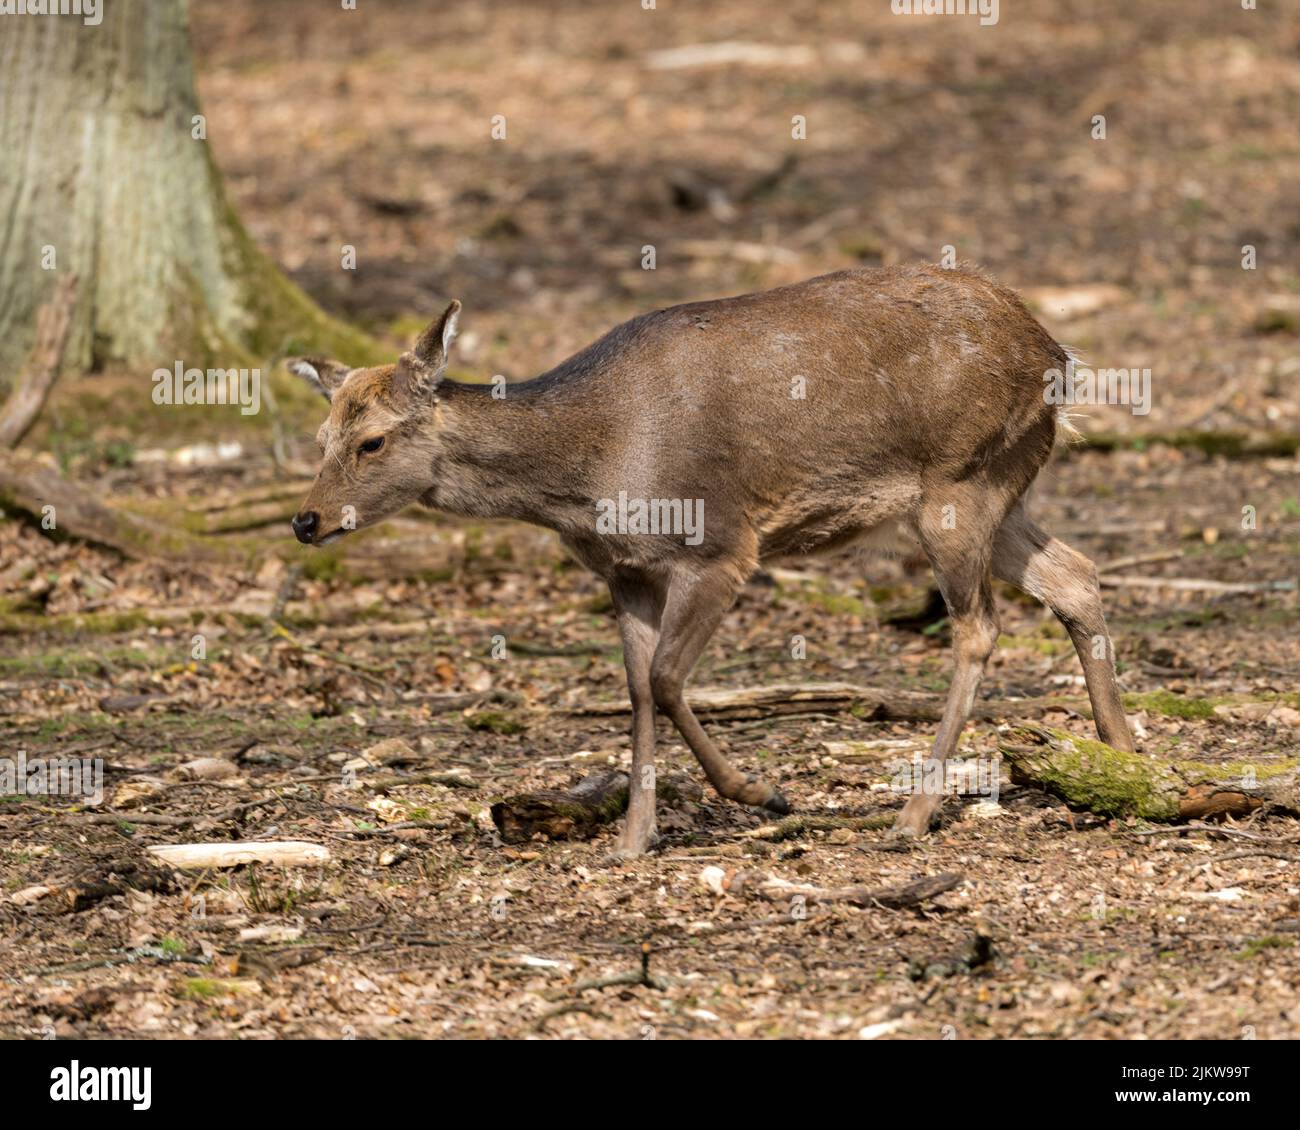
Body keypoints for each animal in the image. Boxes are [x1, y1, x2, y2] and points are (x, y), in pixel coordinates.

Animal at [289, 263, 1133, 858]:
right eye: (321, 437)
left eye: (373, 441)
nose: (306, 519)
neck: (590, 471)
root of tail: (1056, 354)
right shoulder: (624, 572)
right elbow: (635, 690)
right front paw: (634, 838)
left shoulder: (721, 543)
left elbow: (666, 680)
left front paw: (761, 793)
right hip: (999, 486)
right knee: (1076, 575)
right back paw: (1123, 755)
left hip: (956, 482)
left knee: (979, 627)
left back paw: (914, 813)